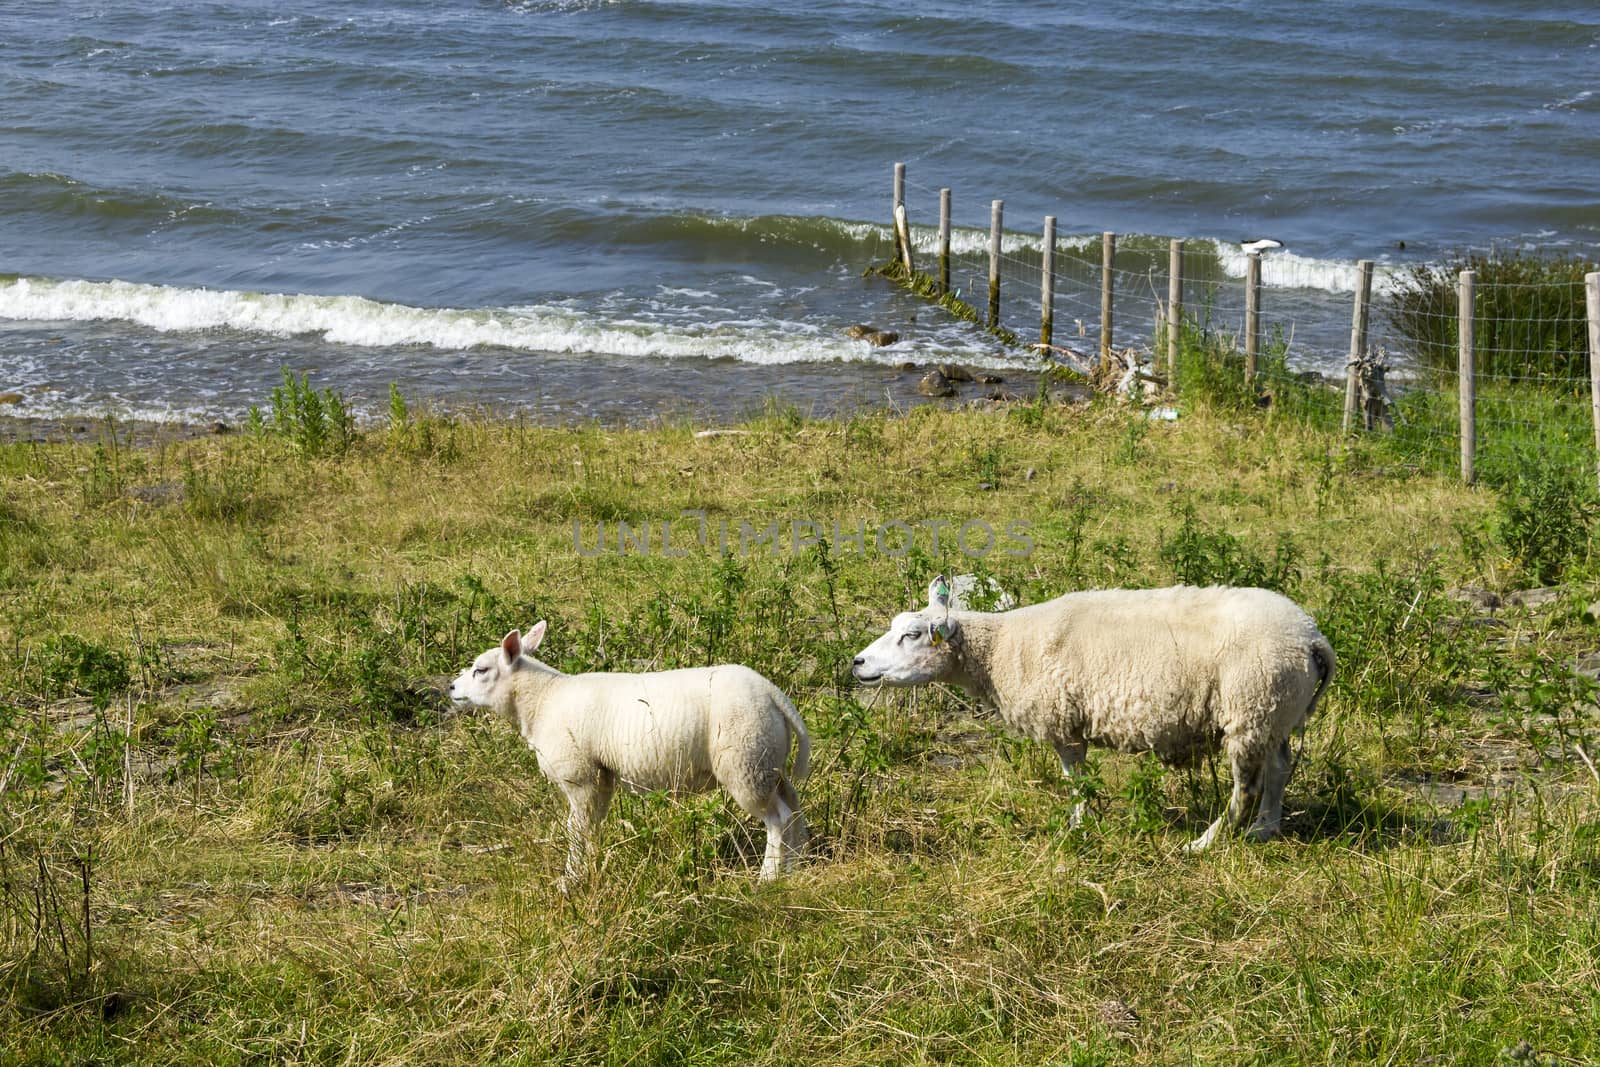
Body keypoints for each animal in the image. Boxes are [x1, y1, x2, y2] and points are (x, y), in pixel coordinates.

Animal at [451, 617, 806, 883]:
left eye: (481, 670)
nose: (452, 688)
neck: (542, 700)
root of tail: (771, 692)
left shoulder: (579, 776)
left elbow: (575, 830)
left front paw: (571, 880)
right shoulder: (600, 778)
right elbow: (590, 828)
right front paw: (590, 868)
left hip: (745, 763)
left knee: (778, 817)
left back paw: (768, 878)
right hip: (768, 760)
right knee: (793, 805)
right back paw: (795, 866)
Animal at [851, 575, 1337, 851]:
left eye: (912, 635)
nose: (857, 663)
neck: (1001, 648)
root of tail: (1311, 637)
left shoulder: (1063, 721)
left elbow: (1075, 781)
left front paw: (1078, 826)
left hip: (1251, 706)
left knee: (1246, 786)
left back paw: (1207, 841)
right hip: (1274, 713)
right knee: (1279, 769)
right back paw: (1266, 829)